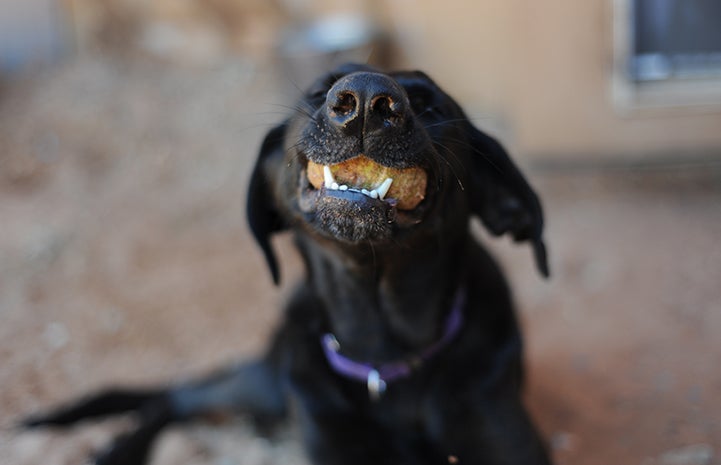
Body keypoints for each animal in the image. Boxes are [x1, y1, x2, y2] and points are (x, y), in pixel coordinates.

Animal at [22, 64, 552, 464]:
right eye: (320, 91)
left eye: (430, 104)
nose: (365, 97)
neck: (383, 354)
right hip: (268, 384)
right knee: (176, 396)